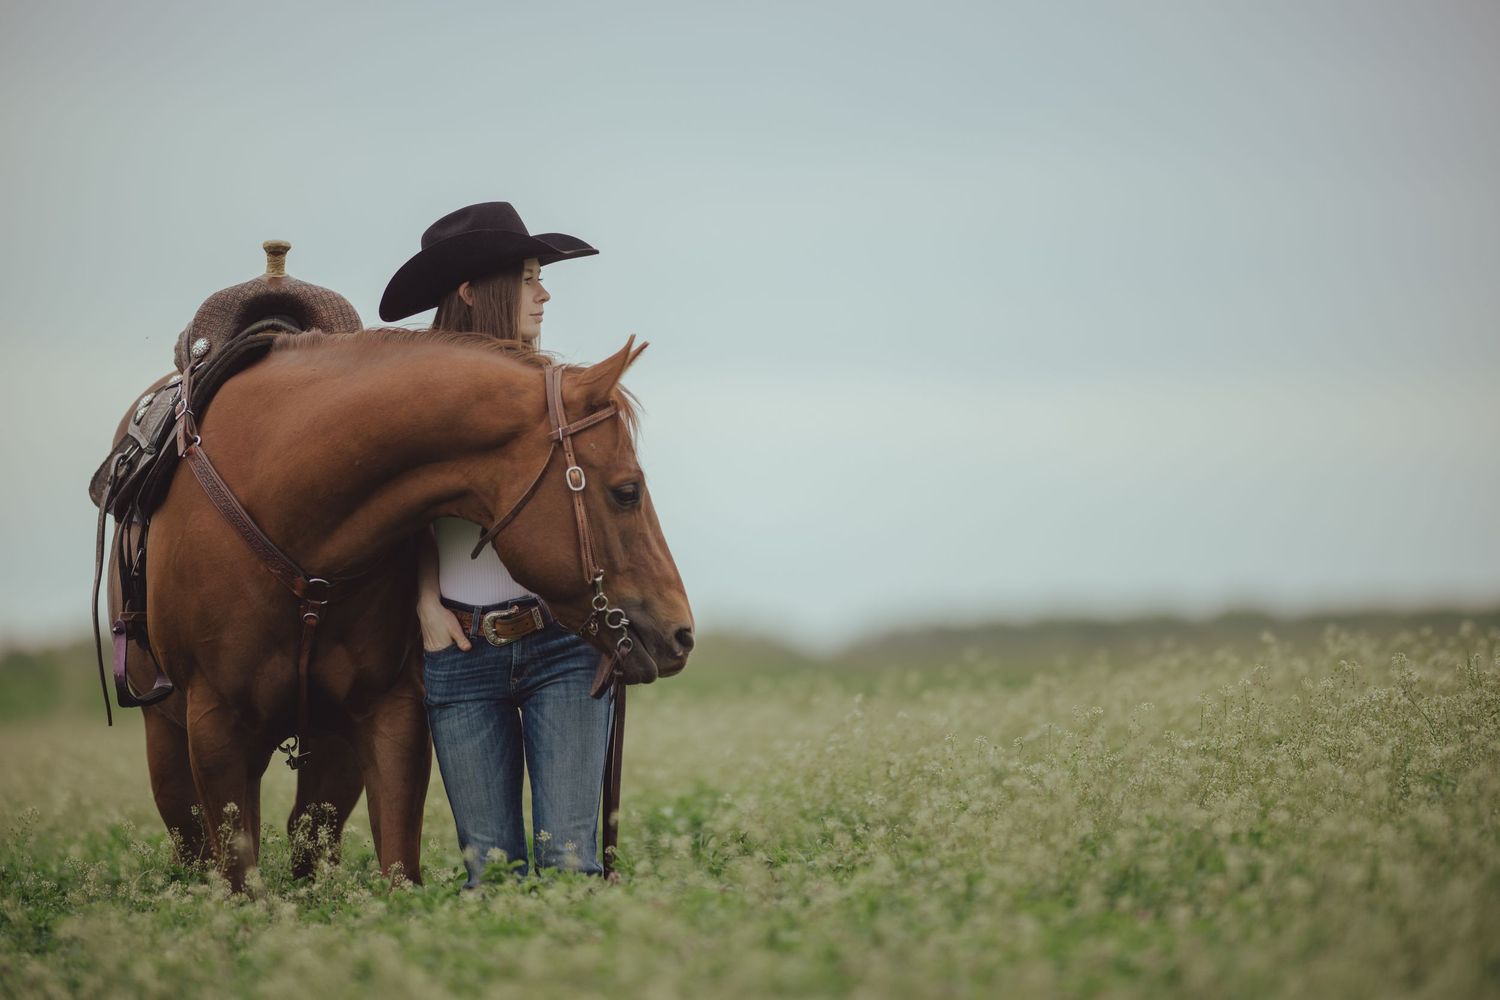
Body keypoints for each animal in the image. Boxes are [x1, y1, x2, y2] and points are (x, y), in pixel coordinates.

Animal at [129, 330, 692, 890]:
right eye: (627, 492)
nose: (681, 634)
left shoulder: (392, 716)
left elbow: (399, 871)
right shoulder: (215, 729)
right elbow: (240, 880)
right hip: (172, 745)